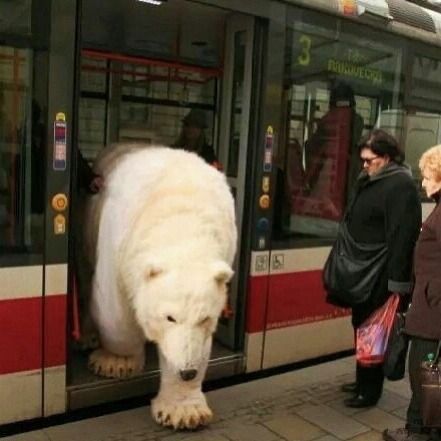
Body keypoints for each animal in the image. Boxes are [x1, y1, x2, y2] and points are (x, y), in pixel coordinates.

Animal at [86, 143, 237, 428]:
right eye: (169, 317)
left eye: (205, 318)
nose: (187, 371)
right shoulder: (118, 241)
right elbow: (116, 312)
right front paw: (116, 363)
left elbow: (198, 344)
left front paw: (184, 412)